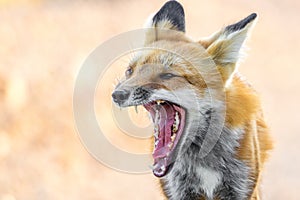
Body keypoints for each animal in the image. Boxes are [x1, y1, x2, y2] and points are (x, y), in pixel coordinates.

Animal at [112, 0, 272, 199]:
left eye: (167, 75)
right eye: (130, 71)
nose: (118, 95)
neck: (202, 160)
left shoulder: (241, 189)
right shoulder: (182, 192)